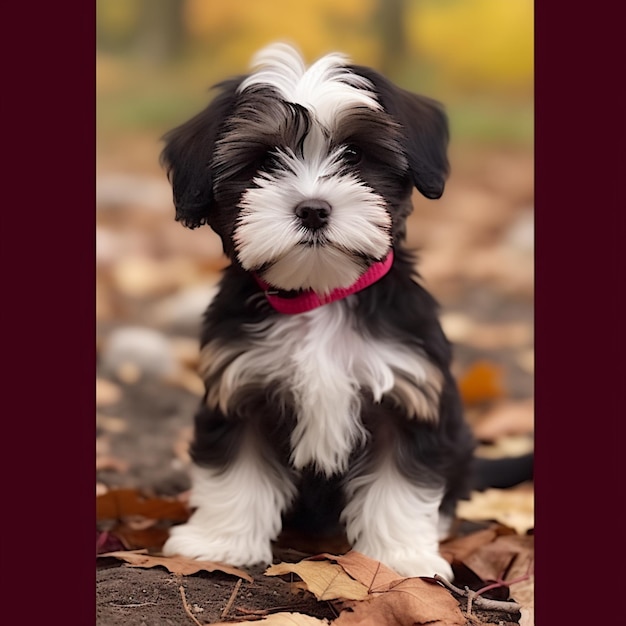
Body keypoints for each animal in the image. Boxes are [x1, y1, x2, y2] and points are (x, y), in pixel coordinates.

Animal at [160, 45, 472, 580]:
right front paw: (219, 542)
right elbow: (235, 470)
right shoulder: (242, 389)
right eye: (264, 161)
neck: (320, 294)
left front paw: (399, 558)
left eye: (355, 155)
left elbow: (399, 483)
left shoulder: (406, 395)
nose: (312, 209)